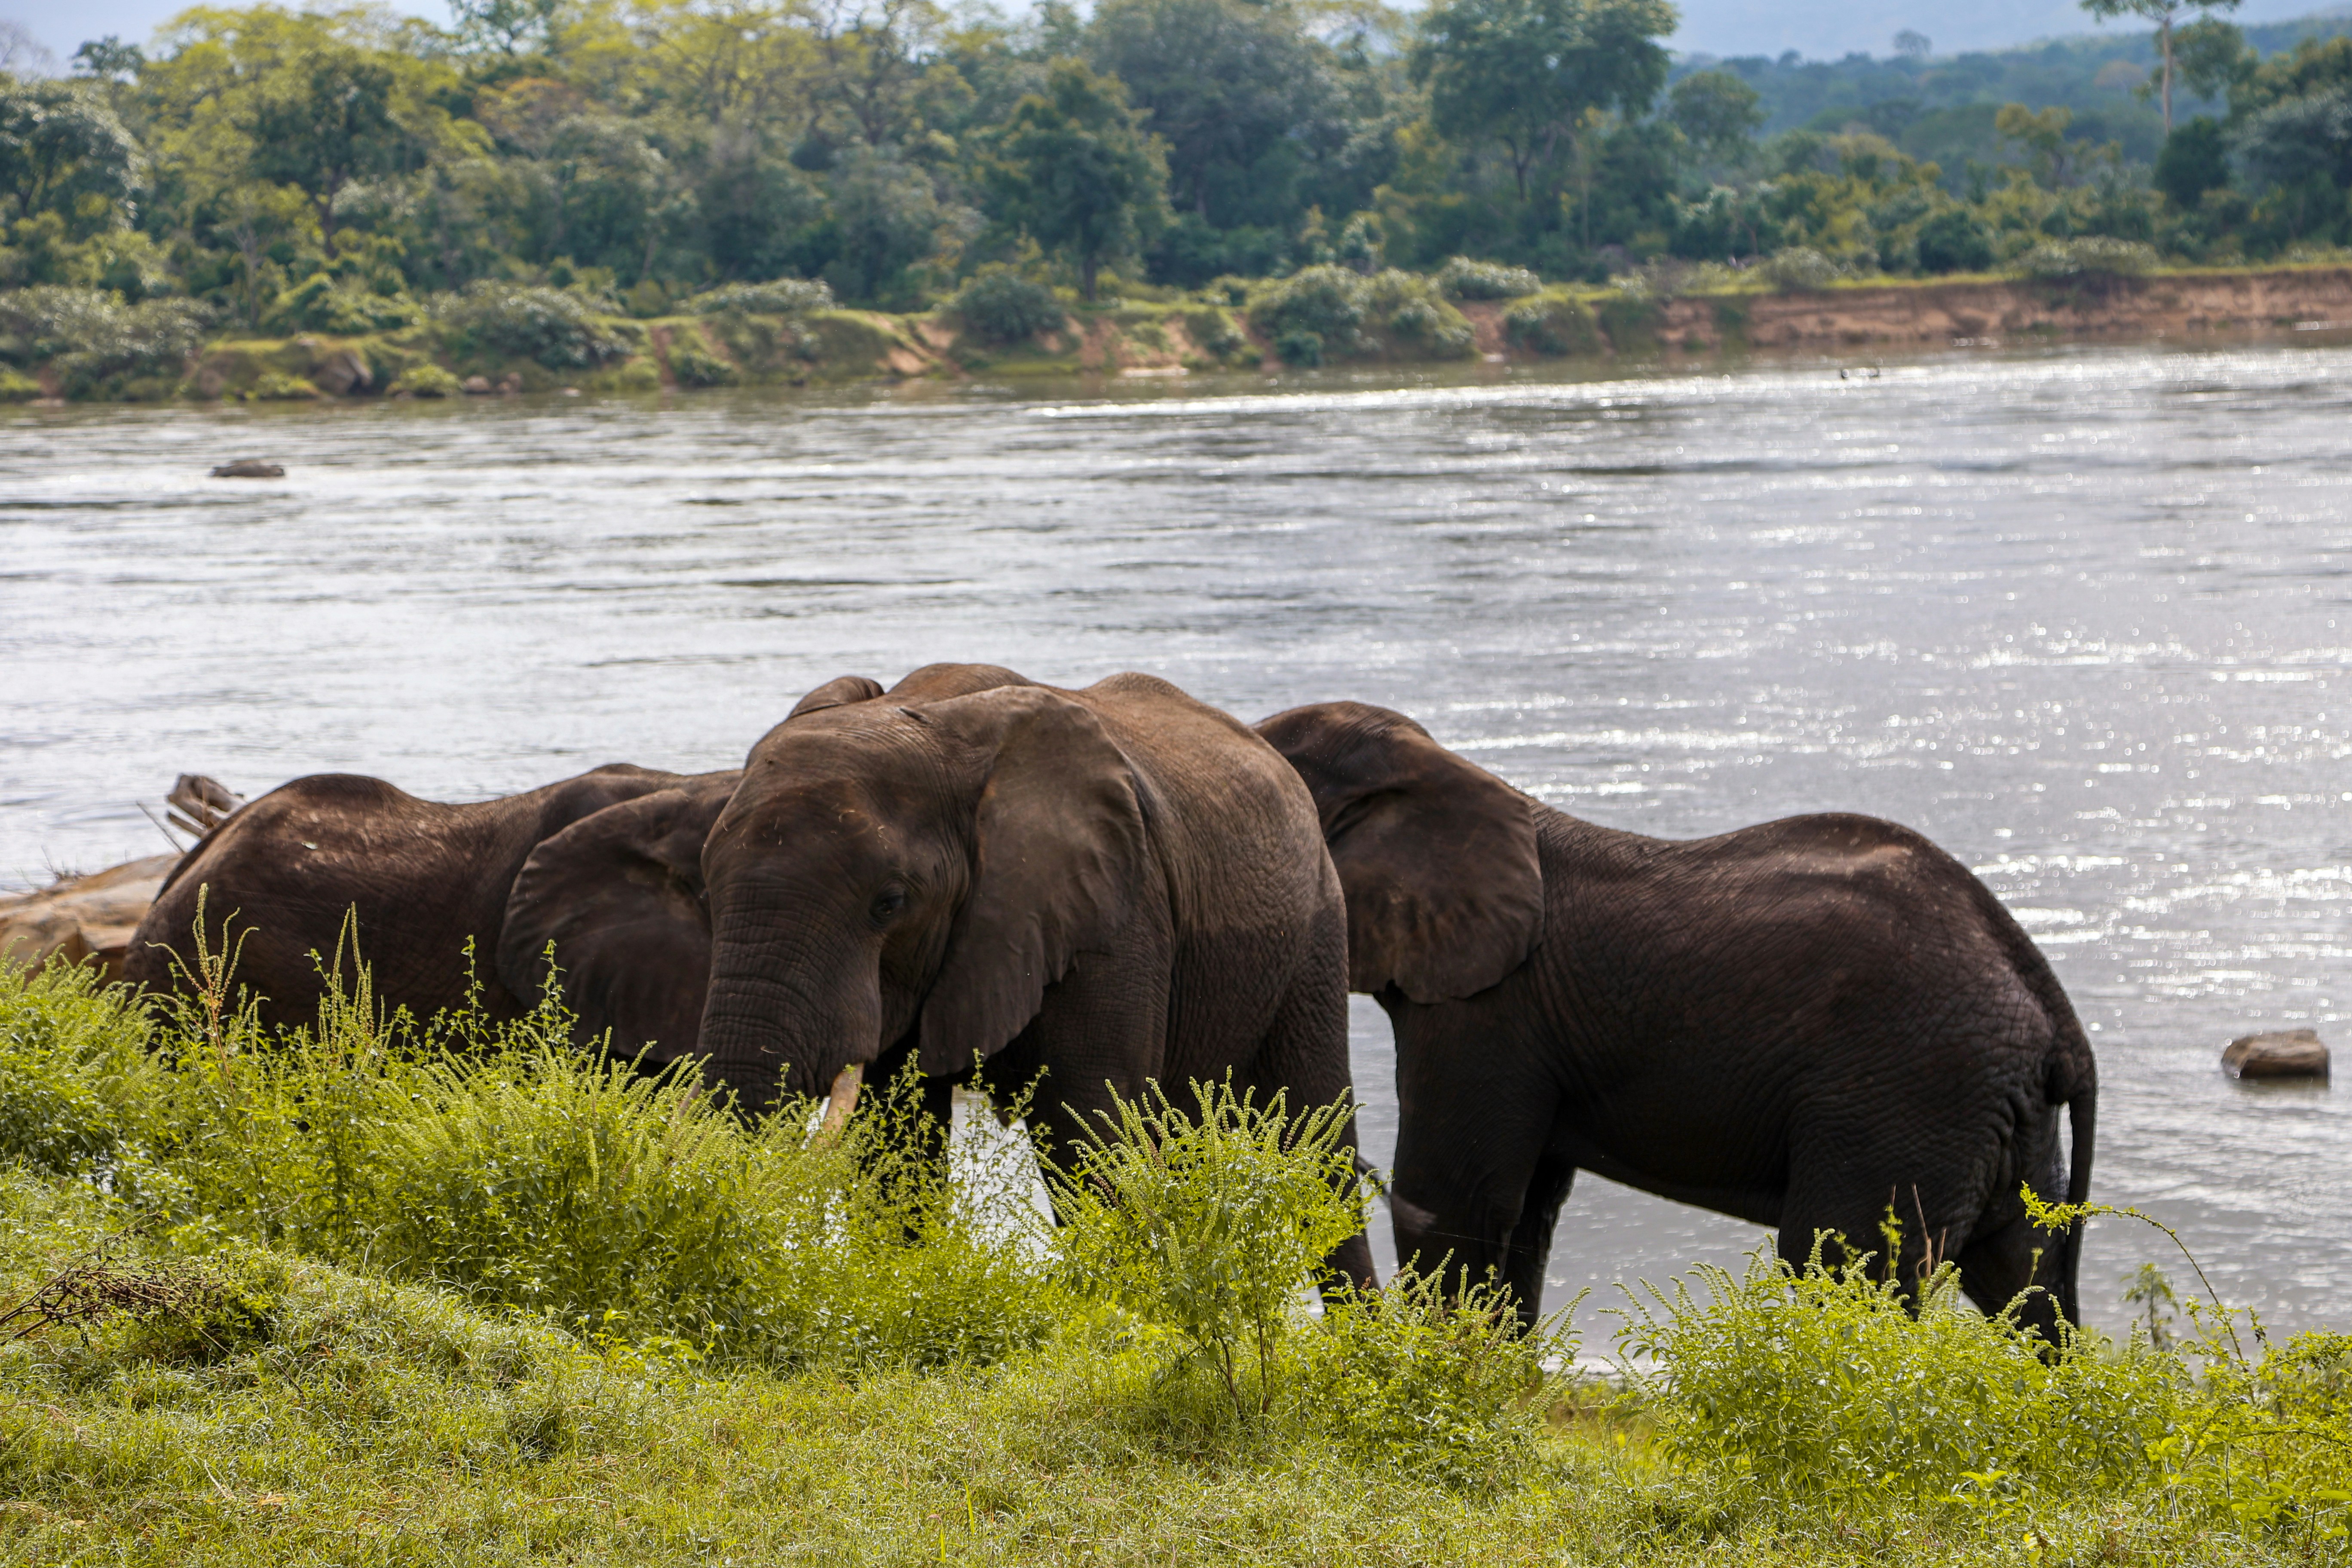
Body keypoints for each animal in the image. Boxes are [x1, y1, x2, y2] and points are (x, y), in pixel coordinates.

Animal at [691, 662, 1377, 1289]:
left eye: (889, 903)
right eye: (707, 889)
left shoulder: (1116, 916)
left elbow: (1093, 1141)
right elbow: (894, 1147)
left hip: (1316, 930)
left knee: (1320, 1151)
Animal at [1254, 700, 2097, 1339]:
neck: (1439, 771)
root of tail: (2056, 1018)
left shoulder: (1486, 1014)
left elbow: (1453, 1203)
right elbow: (1525, 1213)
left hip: (1908, 1101)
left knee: (1838, 1265)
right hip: (1996, 1120)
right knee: (2024, 1282)